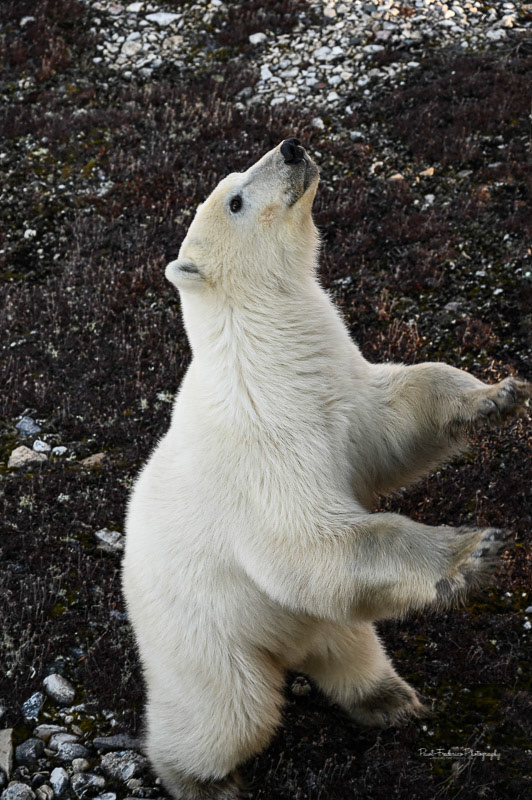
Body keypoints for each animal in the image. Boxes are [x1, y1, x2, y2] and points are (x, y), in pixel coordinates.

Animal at [122, 138, 531, 800]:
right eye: (235, 199)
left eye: (238, 174)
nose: (291, 148)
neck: (268, 360)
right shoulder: (266, 446)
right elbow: (311, 542)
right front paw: (473, 552)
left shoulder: (340, 390)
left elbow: (394, 422)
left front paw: (495, 395)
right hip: (203, 637)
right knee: (230, 713)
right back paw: (203, 780)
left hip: (311, 623)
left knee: (350, 643)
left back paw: (392, 699)